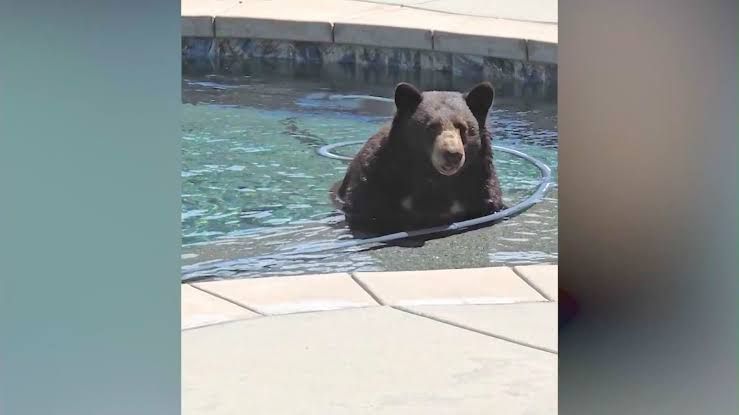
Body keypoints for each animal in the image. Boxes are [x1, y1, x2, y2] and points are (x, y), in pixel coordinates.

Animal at [331, 81, 504, 235]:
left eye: (462, 127)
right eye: (432, 127)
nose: (452, 154)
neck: (435, 179)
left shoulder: (480, 186)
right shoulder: (377, 181)